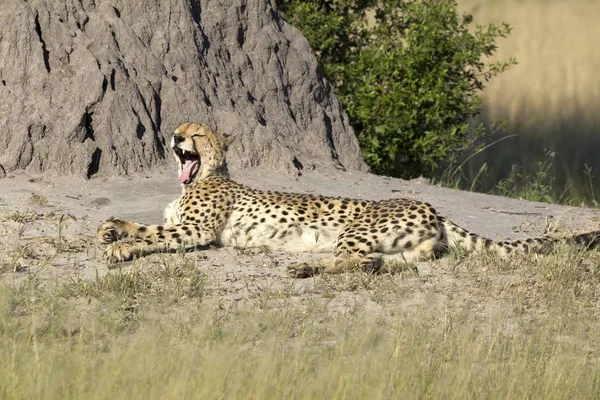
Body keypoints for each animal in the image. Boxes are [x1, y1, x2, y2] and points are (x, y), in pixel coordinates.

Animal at [96, 122, 600, 278]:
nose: (175, 136)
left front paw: (121, 248)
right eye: (181, 128)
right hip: (403, 246)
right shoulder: (179, 221)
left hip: (357, 228)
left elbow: (154, 235)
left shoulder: (198, 229)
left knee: (350, 259)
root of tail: (433, 207)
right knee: (383, 262)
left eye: (196, 133)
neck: (195, 179)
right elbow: (141, 223)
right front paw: (109, 229)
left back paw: (304, 266)